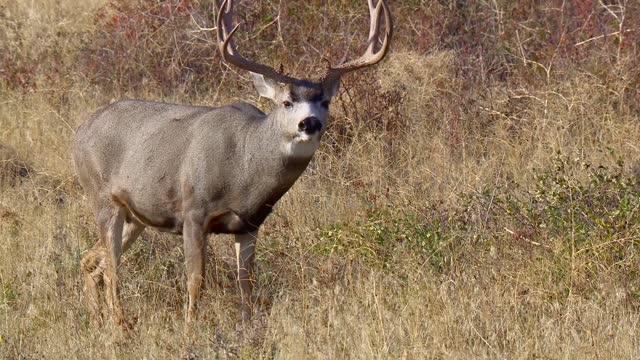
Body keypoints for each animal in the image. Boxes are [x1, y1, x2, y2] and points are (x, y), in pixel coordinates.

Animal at [73, 0, 392, 330]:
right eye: (286, 102)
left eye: (325, 102)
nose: (309, 123)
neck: (243, 173)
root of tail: (81, 131)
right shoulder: (193, 212)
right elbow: (195, 281)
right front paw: (191, 330)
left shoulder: (251, 223)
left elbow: (246, 284)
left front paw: (248, 328)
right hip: (102, 198)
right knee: (112, 268)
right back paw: (120, 325)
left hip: (136, 216)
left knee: (91, 261)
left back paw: (98, 320)